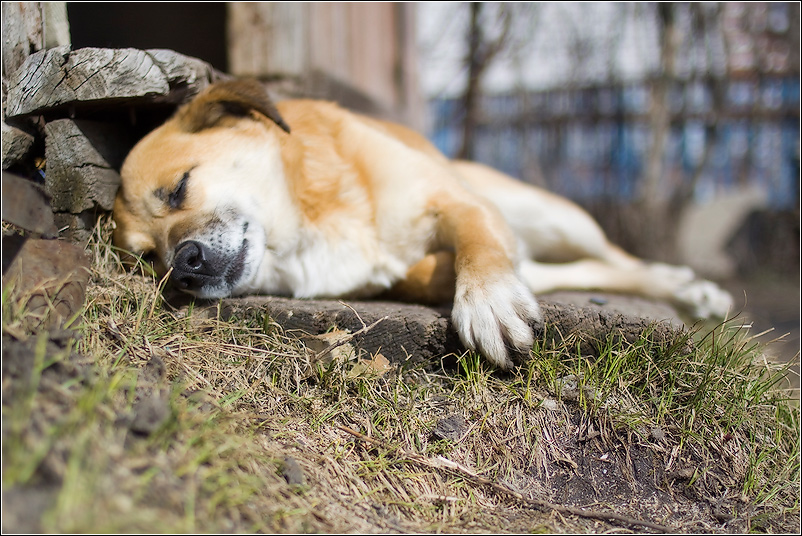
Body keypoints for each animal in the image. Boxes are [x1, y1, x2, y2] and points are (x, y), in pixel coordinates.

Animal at [112, 79, 732, 370]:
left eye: (179, 188)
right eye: (149, 258)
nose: (184, 267)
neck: (307, 222)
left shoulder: (455, 202)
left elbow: (479, 244)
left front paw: (487, 300)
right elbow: (428, 270)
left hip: (555, 217)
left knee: (615, 259)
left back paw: (689, 288)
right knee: (575, 271)